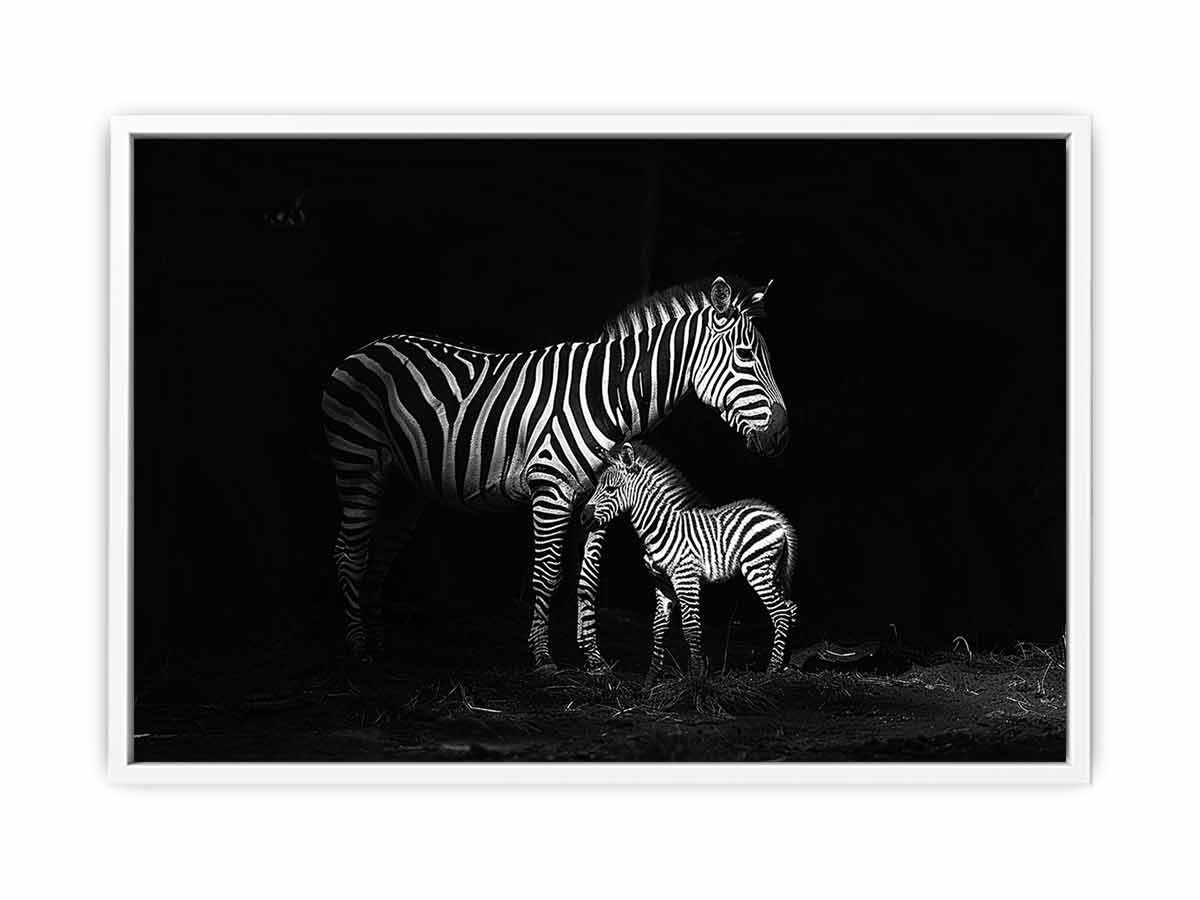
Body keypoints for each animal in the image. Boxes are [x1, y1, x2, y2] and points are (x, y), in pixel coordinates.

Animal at [580, 442, 798, 684]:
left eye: (611, 489)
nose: (583, 518)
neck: (660, 527)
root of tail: (775, 516)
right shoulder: (662, 583)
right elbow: (658, 627)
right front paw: (651, 679)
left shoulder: (686, 577)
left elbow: (691, 627)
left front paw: (695, 677)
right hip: (772, 571)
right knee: (790, 609)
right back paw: (784, 663)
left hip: (757, 568)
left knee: (780, 612)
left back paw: (772, 670)